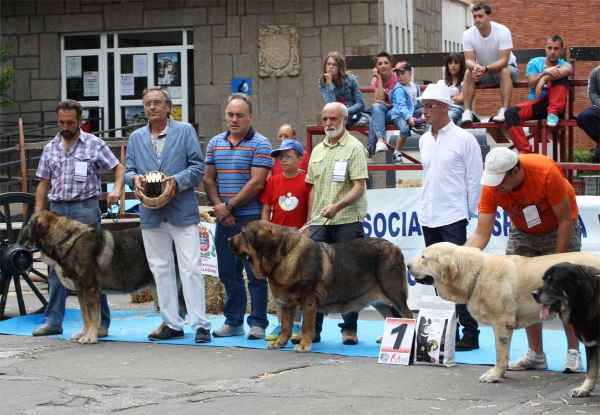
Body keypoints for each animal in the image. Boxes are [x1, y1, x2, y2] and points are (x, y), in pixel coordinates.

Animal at [22, 211, 183, 344]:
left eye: (29, 223)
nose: (22, 229)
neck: (66, 240)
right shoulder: (80, 291)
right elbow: (85, 315)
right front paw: (84, 333)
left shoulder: (90, 289)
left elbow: (92, 315)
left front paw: (90, 337)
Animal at [227, 219, 414, 352]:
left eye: (243, 233)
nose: (228, 239)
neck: (283, 254)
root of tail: (396, 247)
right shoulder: (287, 303)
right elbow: (286, 326)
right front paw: (280, 343)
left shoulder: (308, 300)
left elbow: (306, 325)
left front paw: (304, 344)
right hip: (379, 300)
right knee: (392, 316)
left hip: (394, 293)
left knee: (407, 315)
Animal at [532, 264, 596, 398]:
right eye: (544, 279)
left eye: (554, 281)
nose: (533, 294)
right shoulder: (591, 342)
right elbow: (592, 370)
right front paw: (584, 389)